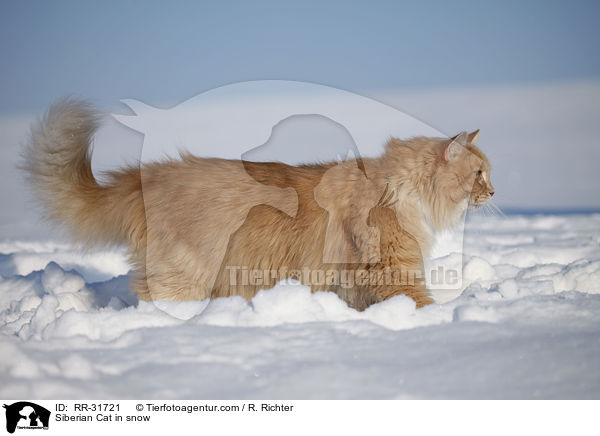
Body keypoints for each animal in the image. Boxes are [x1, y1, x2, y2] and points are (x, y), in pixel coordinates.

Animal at [21, 99, 494, 310]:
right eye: (479, 174)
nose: (493, 192)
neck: (399, 185)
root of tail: (148, 175)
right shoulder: (392, 266)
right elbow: (418, 301)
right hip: (184, 275)